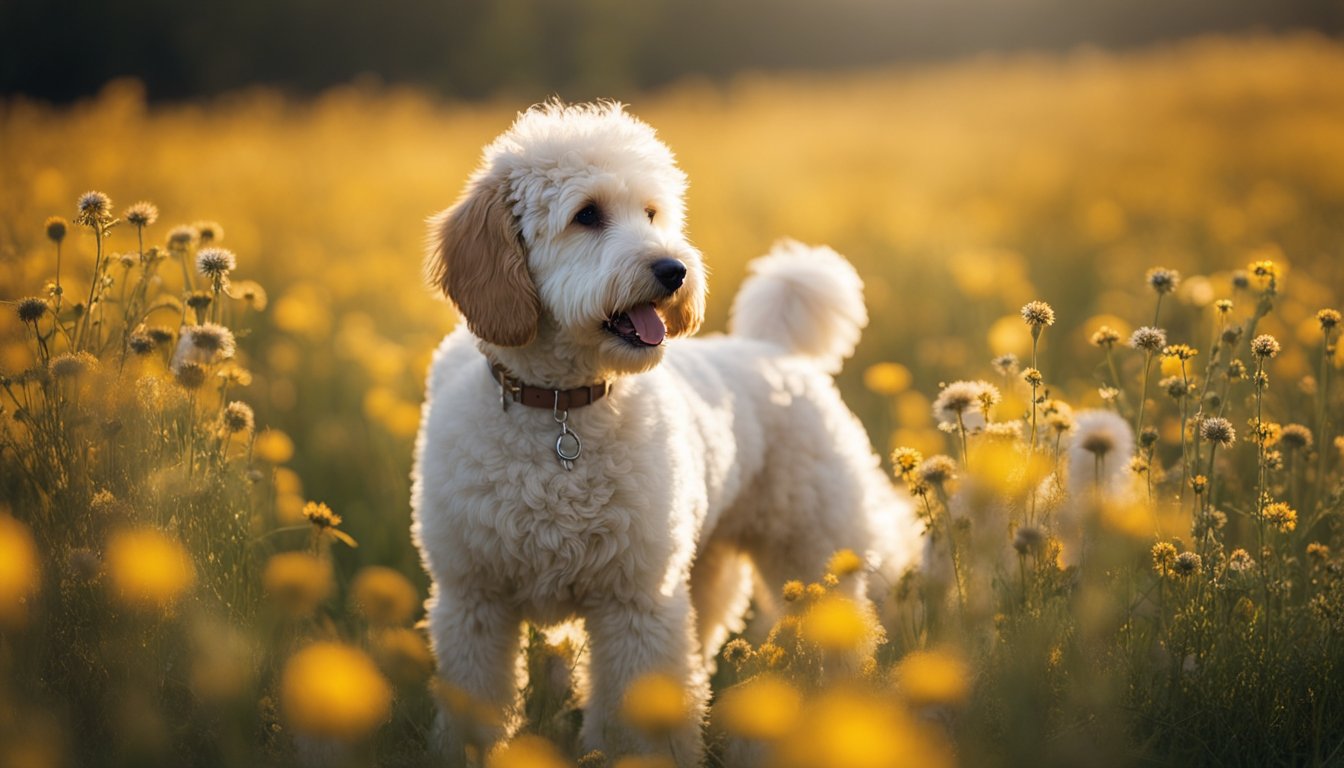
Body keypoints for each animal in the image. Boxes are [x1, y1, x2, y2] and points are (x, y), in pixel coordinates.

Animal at [408, 100, 919, 763]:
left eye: (652, 213)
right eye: (587, 214)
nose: (674, 270)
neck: (559, 410)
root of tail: (776, 350)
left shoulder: (635, 602)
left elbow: (634, 713)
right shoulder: (473, 600)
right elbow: (475, 707)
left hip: (812, 556)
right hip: (704, 574)